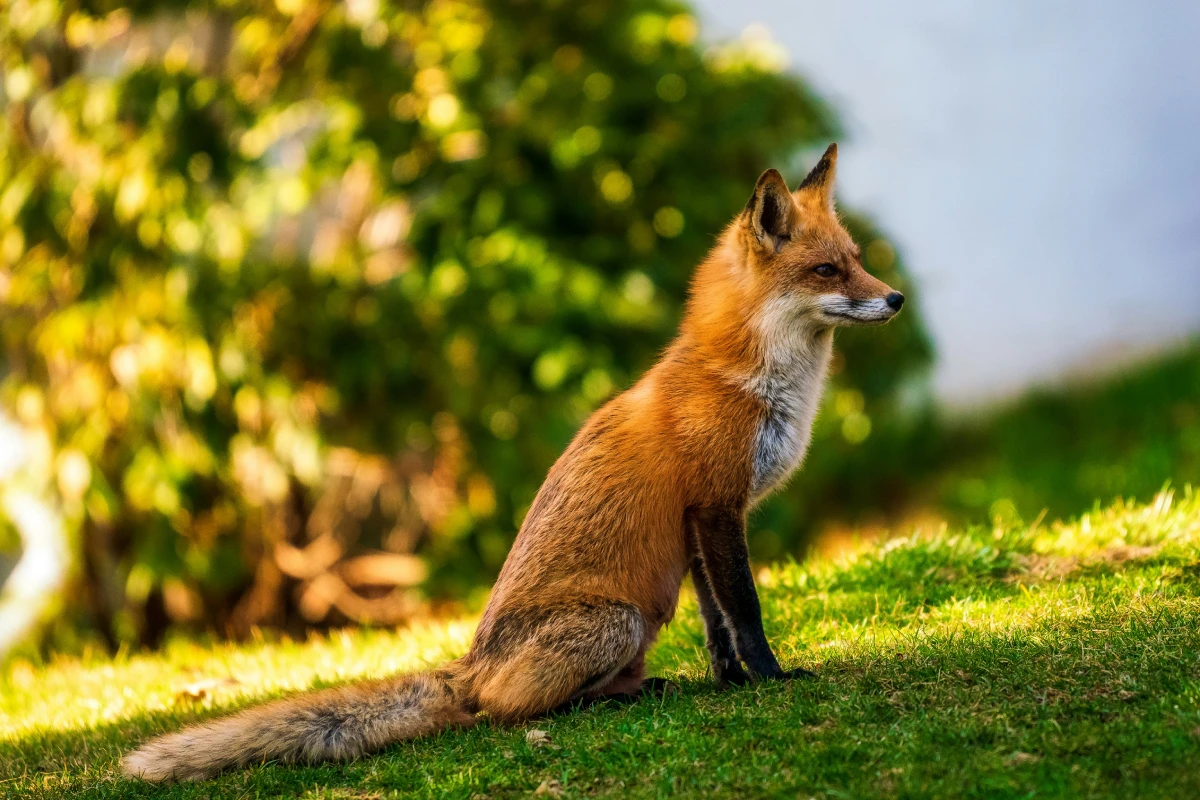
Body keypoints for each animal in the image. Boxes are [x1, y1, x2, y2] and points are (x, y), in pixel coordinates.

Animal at [126, 145, 902, 782]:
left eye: (858, 257)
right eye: (827, 270)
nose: (894, 298)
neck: (745, 380)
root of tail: (469, 665)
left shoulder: (699, 523)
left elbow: (717, 625)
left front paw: (732, 682)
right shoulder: (717, 508)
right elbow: (746, 609)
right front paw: (771, 679)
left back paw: (641, 689)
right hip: (619, 620)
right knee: (500, 712)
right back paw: (596, 706)